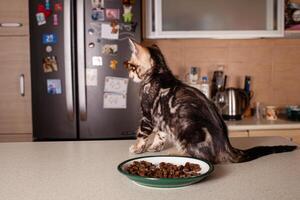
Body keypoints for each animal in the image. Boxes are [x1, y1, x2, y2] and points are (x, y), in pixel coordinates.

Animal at [125, 39, 298, 164]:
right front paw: (155, 147)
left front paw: (137, 147)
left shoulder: (147, 115)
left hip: (189, 131)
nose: (129, 76)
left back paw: (177, 153)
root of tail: (227, 147)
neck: (158, 72)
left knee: (206, 158)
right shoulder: (161, 118)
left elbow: (142, 133)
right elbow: (160, 135)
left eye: (131, 66)